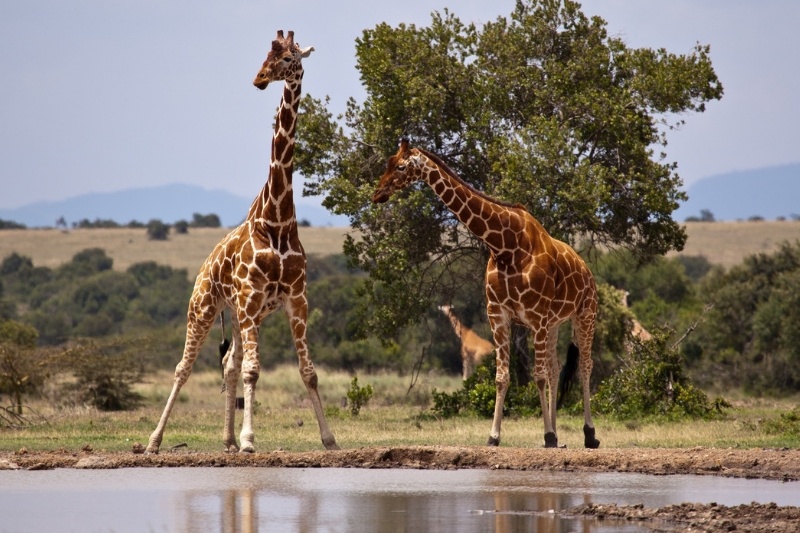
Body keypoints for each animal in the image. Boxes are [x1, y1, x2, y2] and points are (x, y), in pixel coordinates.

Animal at [145, 30, 340, 454]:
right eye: (266, 55)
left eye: (288, 57)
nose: (259, 79)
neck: (277, 220)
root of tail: (204, 266)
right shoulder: (252, 299)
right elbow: (253, 371)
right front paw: (252, 440)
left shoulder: (295, 300)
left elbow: (308, 372)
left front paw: (329, 438)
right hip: (204, 307)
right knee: (185, 367)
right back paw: (153, 440)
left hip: (239, 316)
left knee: (229, 363)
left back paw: (228, 439)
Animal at [376, 139, 600, 446]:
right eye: (386, 162)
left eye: (400, 166)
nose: (377, 193)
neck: (505, 246)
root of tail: (587, 270)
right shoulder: (499, 314)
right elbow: (502, 377)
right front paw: (495, 436)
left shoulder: (537, 316)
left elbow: (538, 376)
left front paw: (548, 435)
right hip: (554, 324)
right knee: (556, 370)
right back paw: (560, 435)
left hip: (584, 314)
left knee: (585, 366)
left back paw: (589, 435)